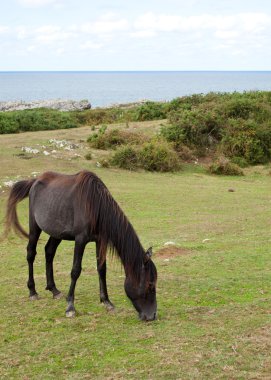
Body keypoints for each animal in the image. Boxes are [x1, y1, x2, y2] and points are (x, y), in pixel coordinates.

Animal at [5, 171, 158, 320]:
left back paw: (54, 290)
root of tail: (35, 181)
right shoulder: (80, 240)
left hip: (56, 232)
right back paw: (32, 291)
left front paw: (107, 302)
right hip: (34, 226)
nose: (152, 316)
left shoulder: (100, 240)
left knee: (49, 252)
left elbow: (102, 269)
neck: (95, 204)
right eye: (150, 285)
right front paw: (70, 307)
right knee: (31, 253)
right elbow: (75, 271)